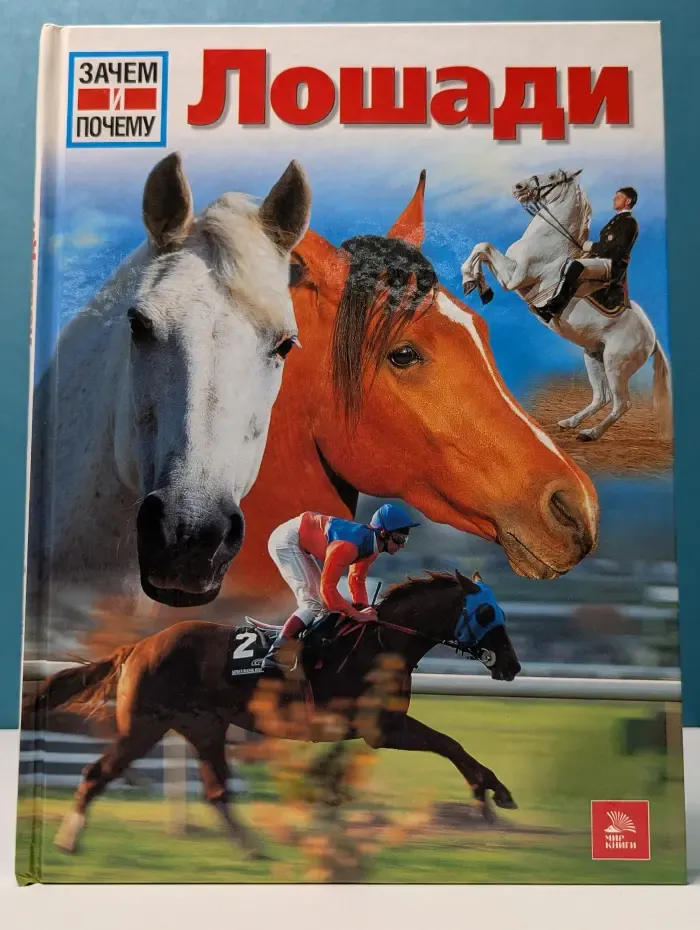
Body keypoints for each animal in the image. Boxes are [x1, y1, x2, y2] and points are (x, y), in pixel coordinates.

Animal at [24, 570, 521, 857]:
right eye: (486, 612)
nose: (512, 665)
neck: (381, 643)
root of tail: (138, 647)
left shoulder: (366, 727)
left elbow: (443, 746)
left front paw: (492, 793)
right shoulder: (381, 727)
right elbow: (448, 744)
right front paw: (490, 794)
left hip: (204, 728)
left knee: (216, 791)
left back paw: (253, 847)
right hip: (144, 726)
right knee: (96, 773)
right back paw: (68, 839)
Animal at [460, 169, 673, 443]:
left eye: (552, 176)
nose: (518, 187)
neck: (551, 241)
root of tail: (652, 337)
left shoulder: (514, 277)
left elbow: (483, 247)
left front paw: (473, 283)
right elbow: (481, 250)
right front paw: (476, 284)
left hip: (616, 364)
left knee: (621, 403)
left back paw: (590, 433)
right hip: (593, 355)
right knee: (601, 397)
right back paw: (569, 423)